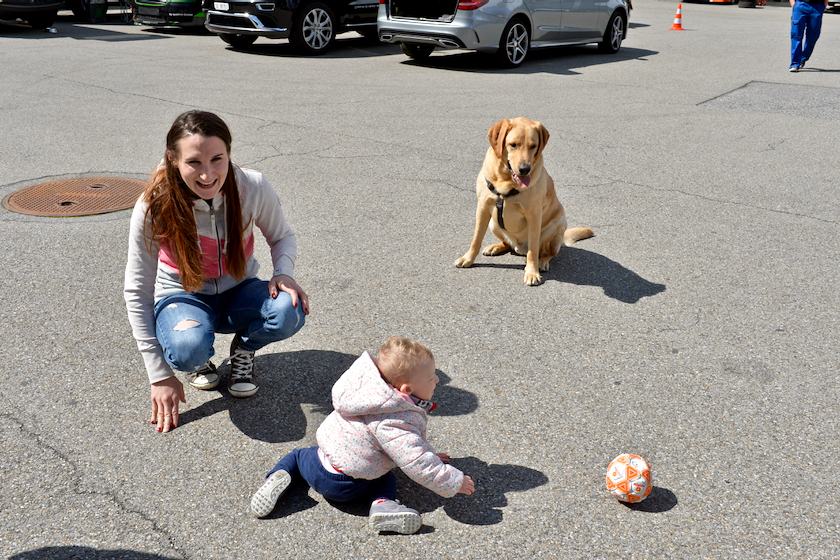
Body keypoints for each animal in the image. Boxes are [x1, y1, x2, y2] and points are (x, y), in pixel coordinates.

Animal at [456, 117, 592, 284]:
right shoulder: (482, 208)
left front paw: (532, 273)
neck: (505, 182)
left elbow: (532, 250)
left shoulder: (533, 216)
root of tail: (519, 247)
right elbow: (476, 239)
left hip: (557, 227)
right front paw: (468, 259)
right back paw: (496, 247)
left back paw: (542, 262)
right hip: (494, 223)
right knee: (507, 244)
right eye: (513, 144)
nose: (524, 169)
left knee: (547, 253)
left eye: (533, 146)